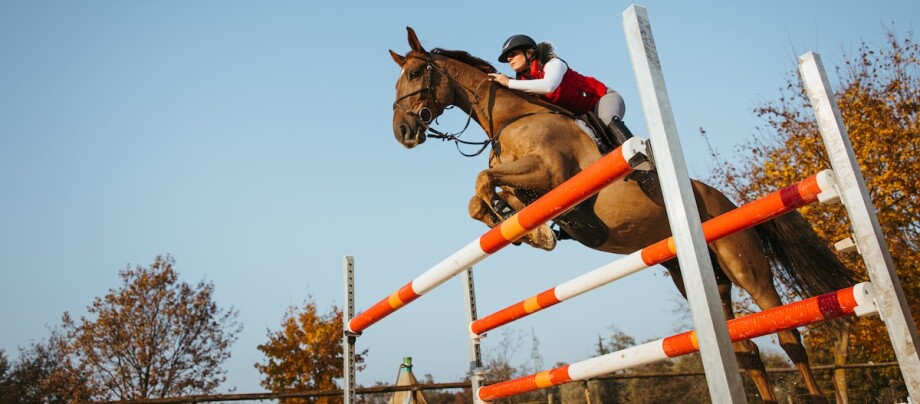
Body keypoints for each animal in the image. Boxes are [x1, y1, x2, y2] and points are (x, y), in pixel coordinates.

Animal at [388, 26, 856, 402]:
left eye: (413, 74)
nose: (403, 132)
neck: (513, 117)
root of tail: (729, 202)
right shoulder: (532, 188)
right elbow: (482, 195)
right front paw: (525, 228)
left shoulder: (552, 174)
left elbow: (483, 178)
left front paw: (528, 229)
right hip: (697, 276)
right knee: (746, 348)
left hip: (743, 263)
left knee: (787, 331)